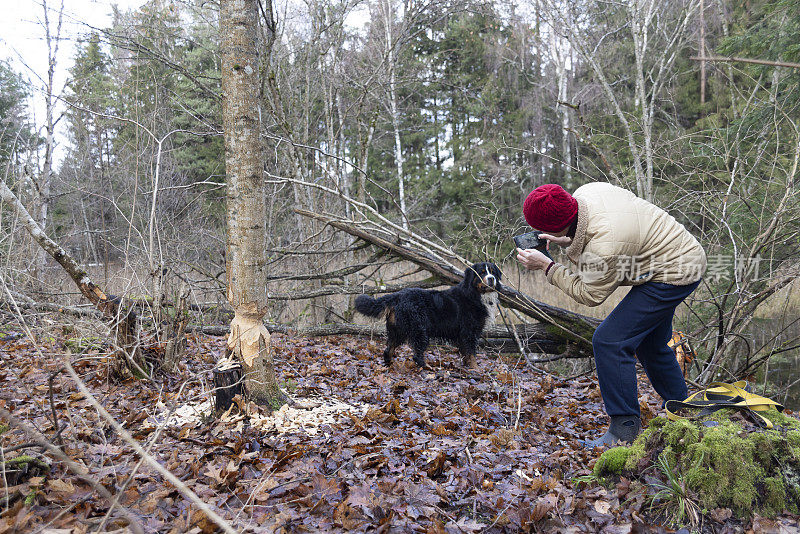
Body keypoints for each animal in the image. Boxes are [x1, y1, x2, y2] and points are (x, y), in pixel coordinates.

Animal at [354, 262, 500, 368]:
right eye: (481, 273)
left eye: (492, 272)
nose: (491, 279)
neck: (474, 294)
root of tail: (398, 295)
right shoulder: (469, 332)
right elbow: (471, 353)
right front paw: (476, 369)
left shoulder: (464, 335)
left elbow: (465, 353)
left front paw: (467, 366)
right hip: (419, 330)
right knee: (417, 354)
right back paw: (426, 367)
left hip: (398, 331)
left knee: (388, 350)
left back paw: (389, 364)